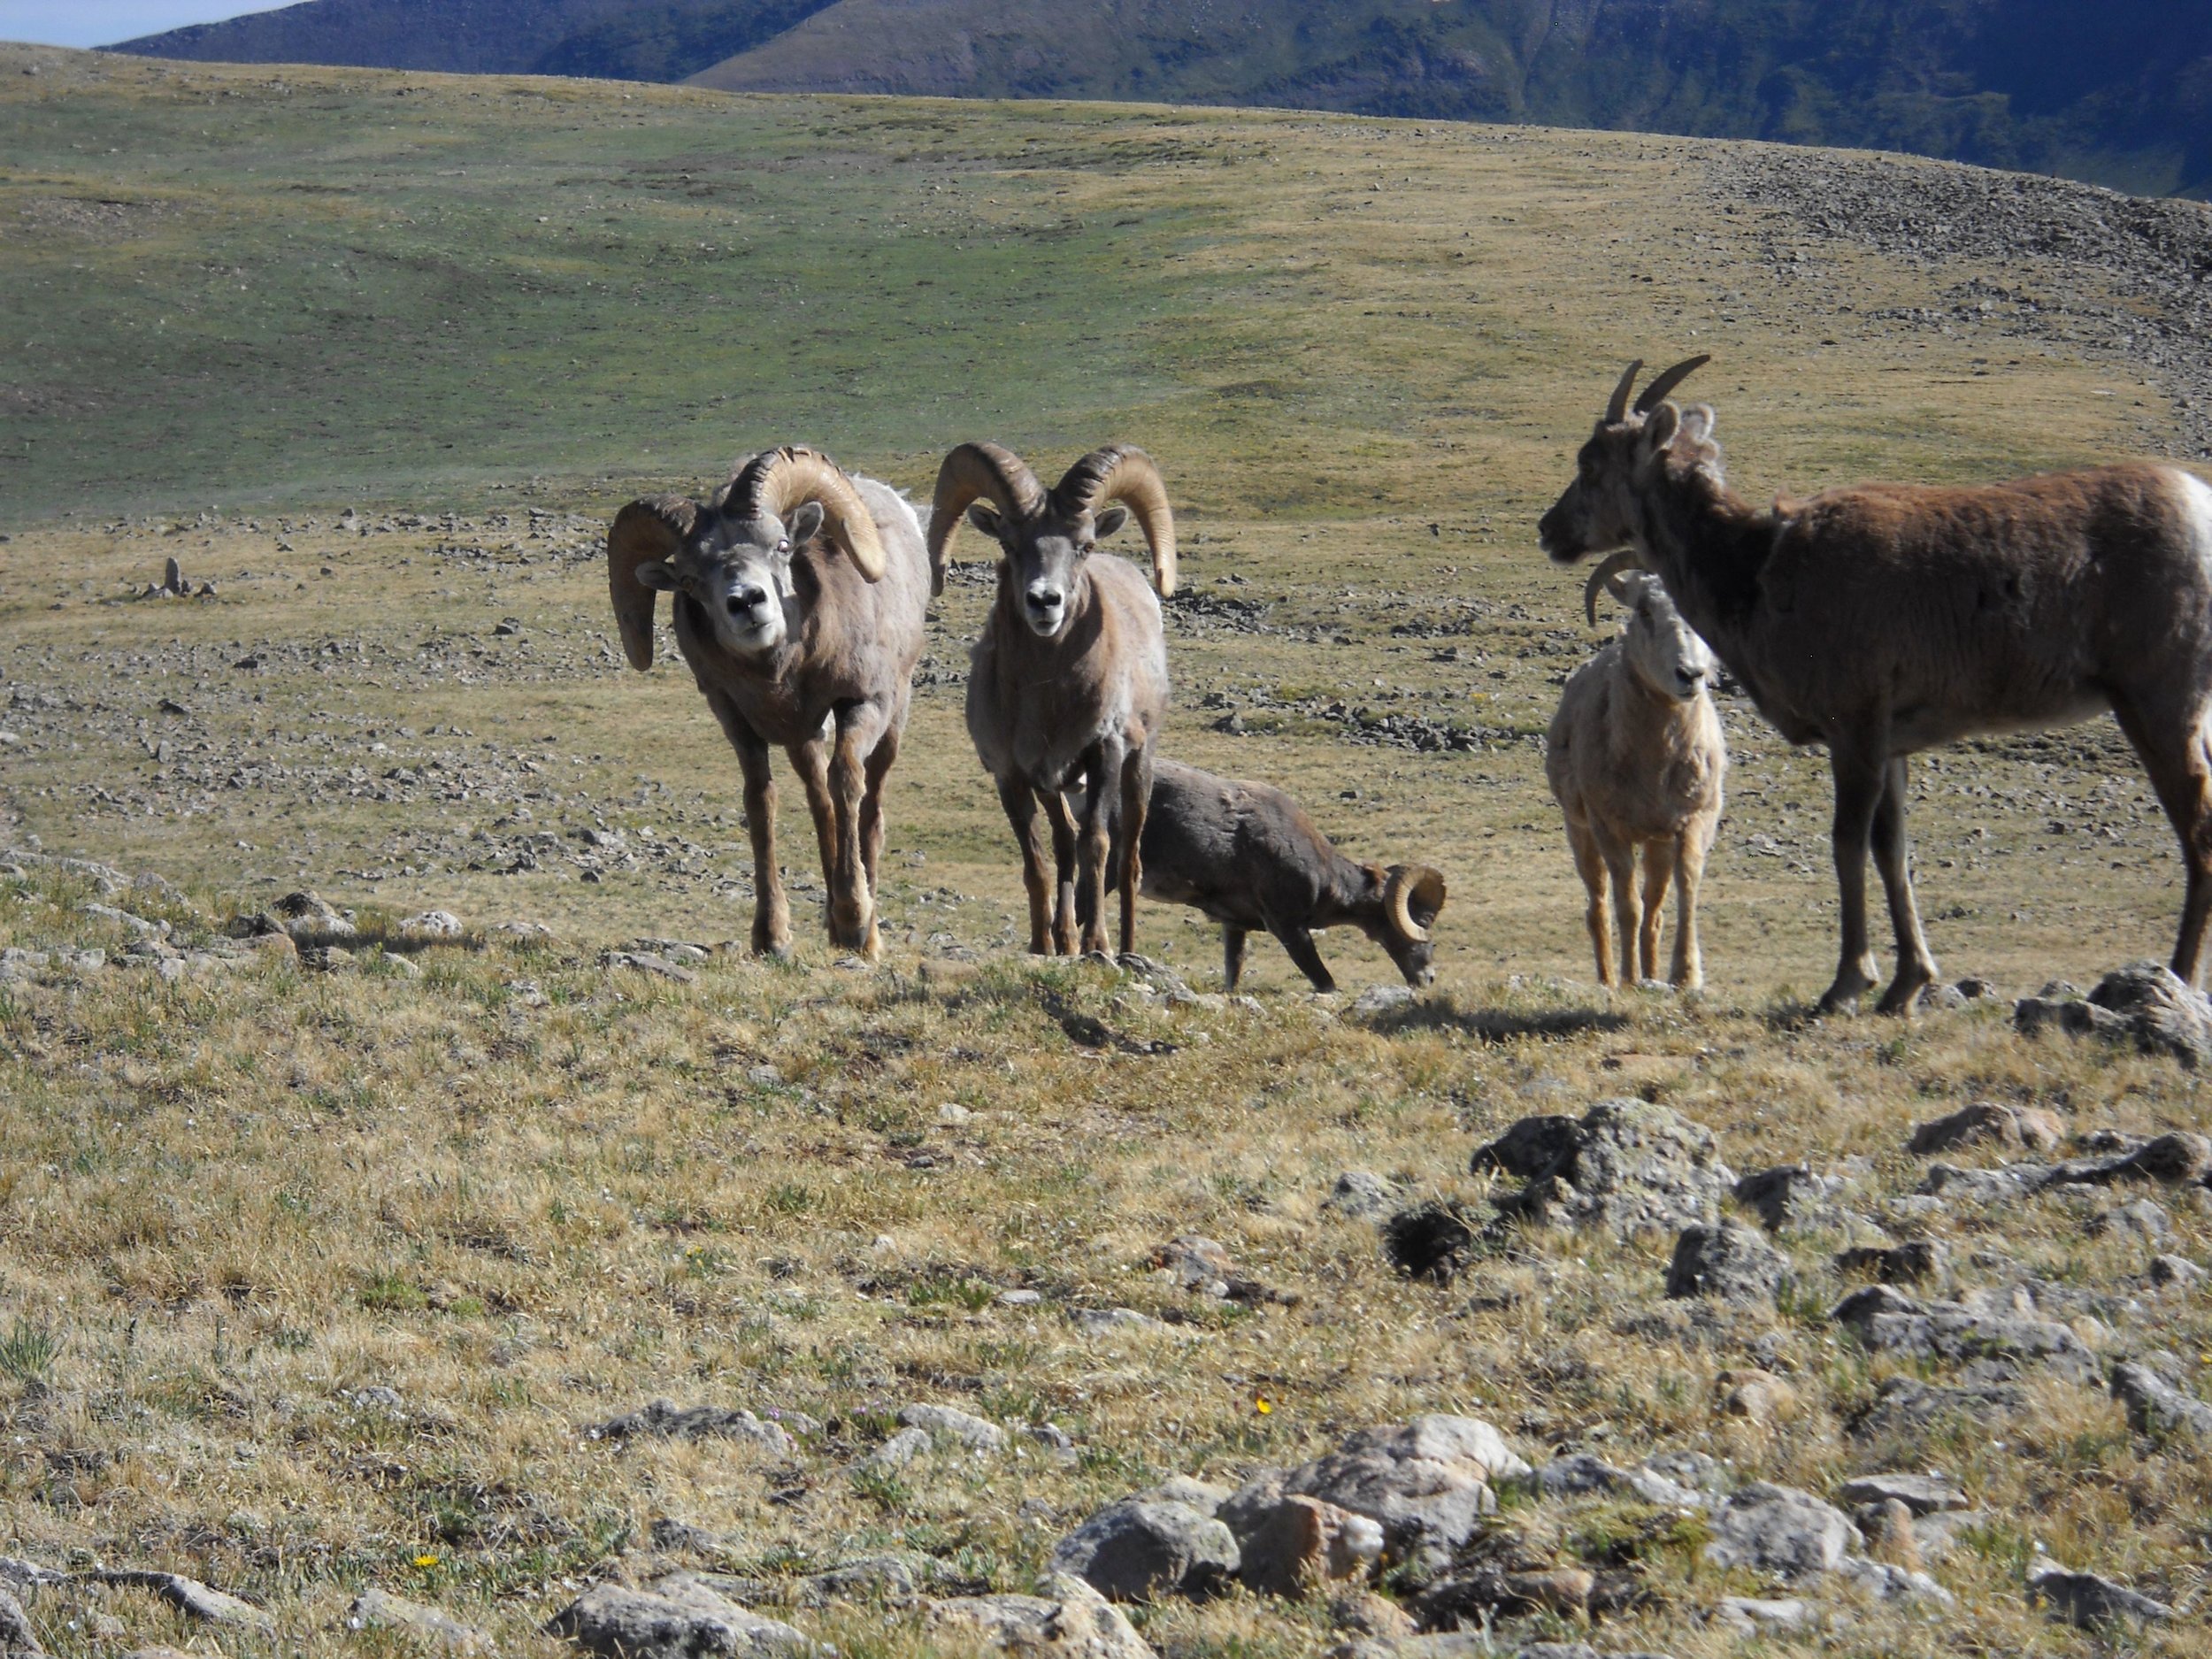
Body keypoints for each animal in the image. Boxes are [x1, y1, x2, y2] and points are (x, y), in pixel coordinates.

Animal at [602, 444, 929, 960]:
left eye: (781, 546)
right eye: (690, 579)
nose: (747, 602)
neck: (783, 672)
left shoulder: (864, 703)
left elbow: (847, 780)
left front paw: (856, 921)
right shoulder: (738, 723)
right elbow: (761, 803)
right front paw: (772, 937)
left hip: (891, 720)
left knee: (869, 807)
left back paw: (864, 933)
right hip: (803, 738)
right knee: (819, 799)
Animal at [929, 442, 1186, 960]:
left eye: (1084, 546)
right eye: (1009, 544)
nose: (1045, 602)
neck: (1047, 704)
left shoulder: (1105, 754)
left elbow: (1097, 846)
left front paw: (1096, 945)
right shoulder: (1012, 774)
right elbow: (1038, 860)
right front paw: (1041, 944)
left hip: (1138, 767)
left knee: (1127, 862)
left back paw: (1124, 947)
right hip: (1054, 786)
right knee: (1064, 841)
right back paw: (1063, 938)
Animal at [1106, 761, 1451, 995]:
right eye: (1423, 921)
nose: (1428, 979)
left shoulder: (1235, 927)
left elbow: (1233, 974)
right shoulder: (1288, 928)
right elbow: (1325, 982)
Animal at [1540, 559, 1725, 987]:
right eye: (1644, 610)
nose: (1689, 674)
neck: (1654, 771)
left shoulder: (1694, 822)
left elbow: (1685, 890)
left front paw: (1685, 976)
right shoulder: (1610, 829)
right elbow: (1627, 907)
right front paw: (1629, 980)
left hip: (1657, 842)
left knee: (1654, 912)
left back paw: (1653, 974)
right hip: (1580, 832)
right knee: (1598, 908)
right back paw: (1610, 979)